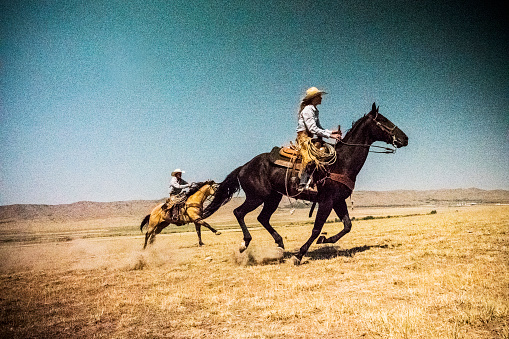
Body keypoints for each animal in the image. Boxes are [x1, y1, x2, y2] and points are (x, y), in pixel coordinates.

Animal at [200, 103, 406, 266]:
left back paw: (280, 244)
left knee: (262, 218)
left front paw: (325, 239)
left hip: (273, 198)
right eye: (384, 121)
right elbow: (316, 228)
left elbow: (347, 225)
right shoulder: (326, 201)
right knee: (239, 212)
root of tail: (244, 166)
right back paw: (245, 244)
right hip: (257, 197)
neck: (341, 163)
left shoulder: (338, 201)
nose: (405, 138)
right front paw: (299, 255)